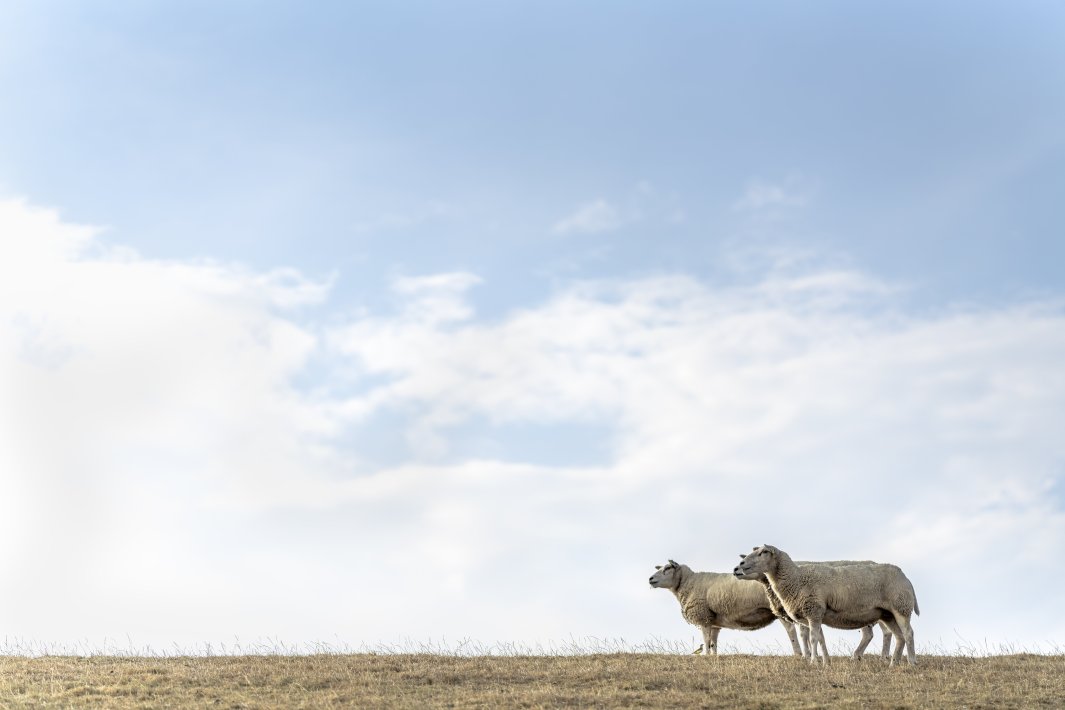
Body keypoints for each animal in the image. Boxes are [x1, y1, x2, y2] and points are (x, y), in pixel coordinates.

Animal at [643, 557, 800, 659]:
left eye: (668, 568)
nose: (650, 579)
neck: (687, 583)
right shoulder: (714, 622)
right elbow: (713, 643)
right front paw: (713, 656)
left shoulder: (703, 617)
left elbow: (706, 641)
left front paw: (706, 656)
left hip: (780, 607)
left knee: (790, 629)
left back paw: (798, 654)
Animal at [736, 549, 920, 668]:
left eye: (763, 552)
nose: (738, 566)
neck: (796, 578)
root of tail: (905, 577)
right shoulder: (815, 615)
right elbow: (821, 639)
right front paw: (825, 662)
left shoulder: (813, 611)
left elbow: (812, 639)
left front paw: (813, 662)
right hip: (887, 614)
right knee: (899, 636)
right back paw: (893, 663)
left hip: (901, 607)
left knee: (908, 633)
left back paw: (911, 662)